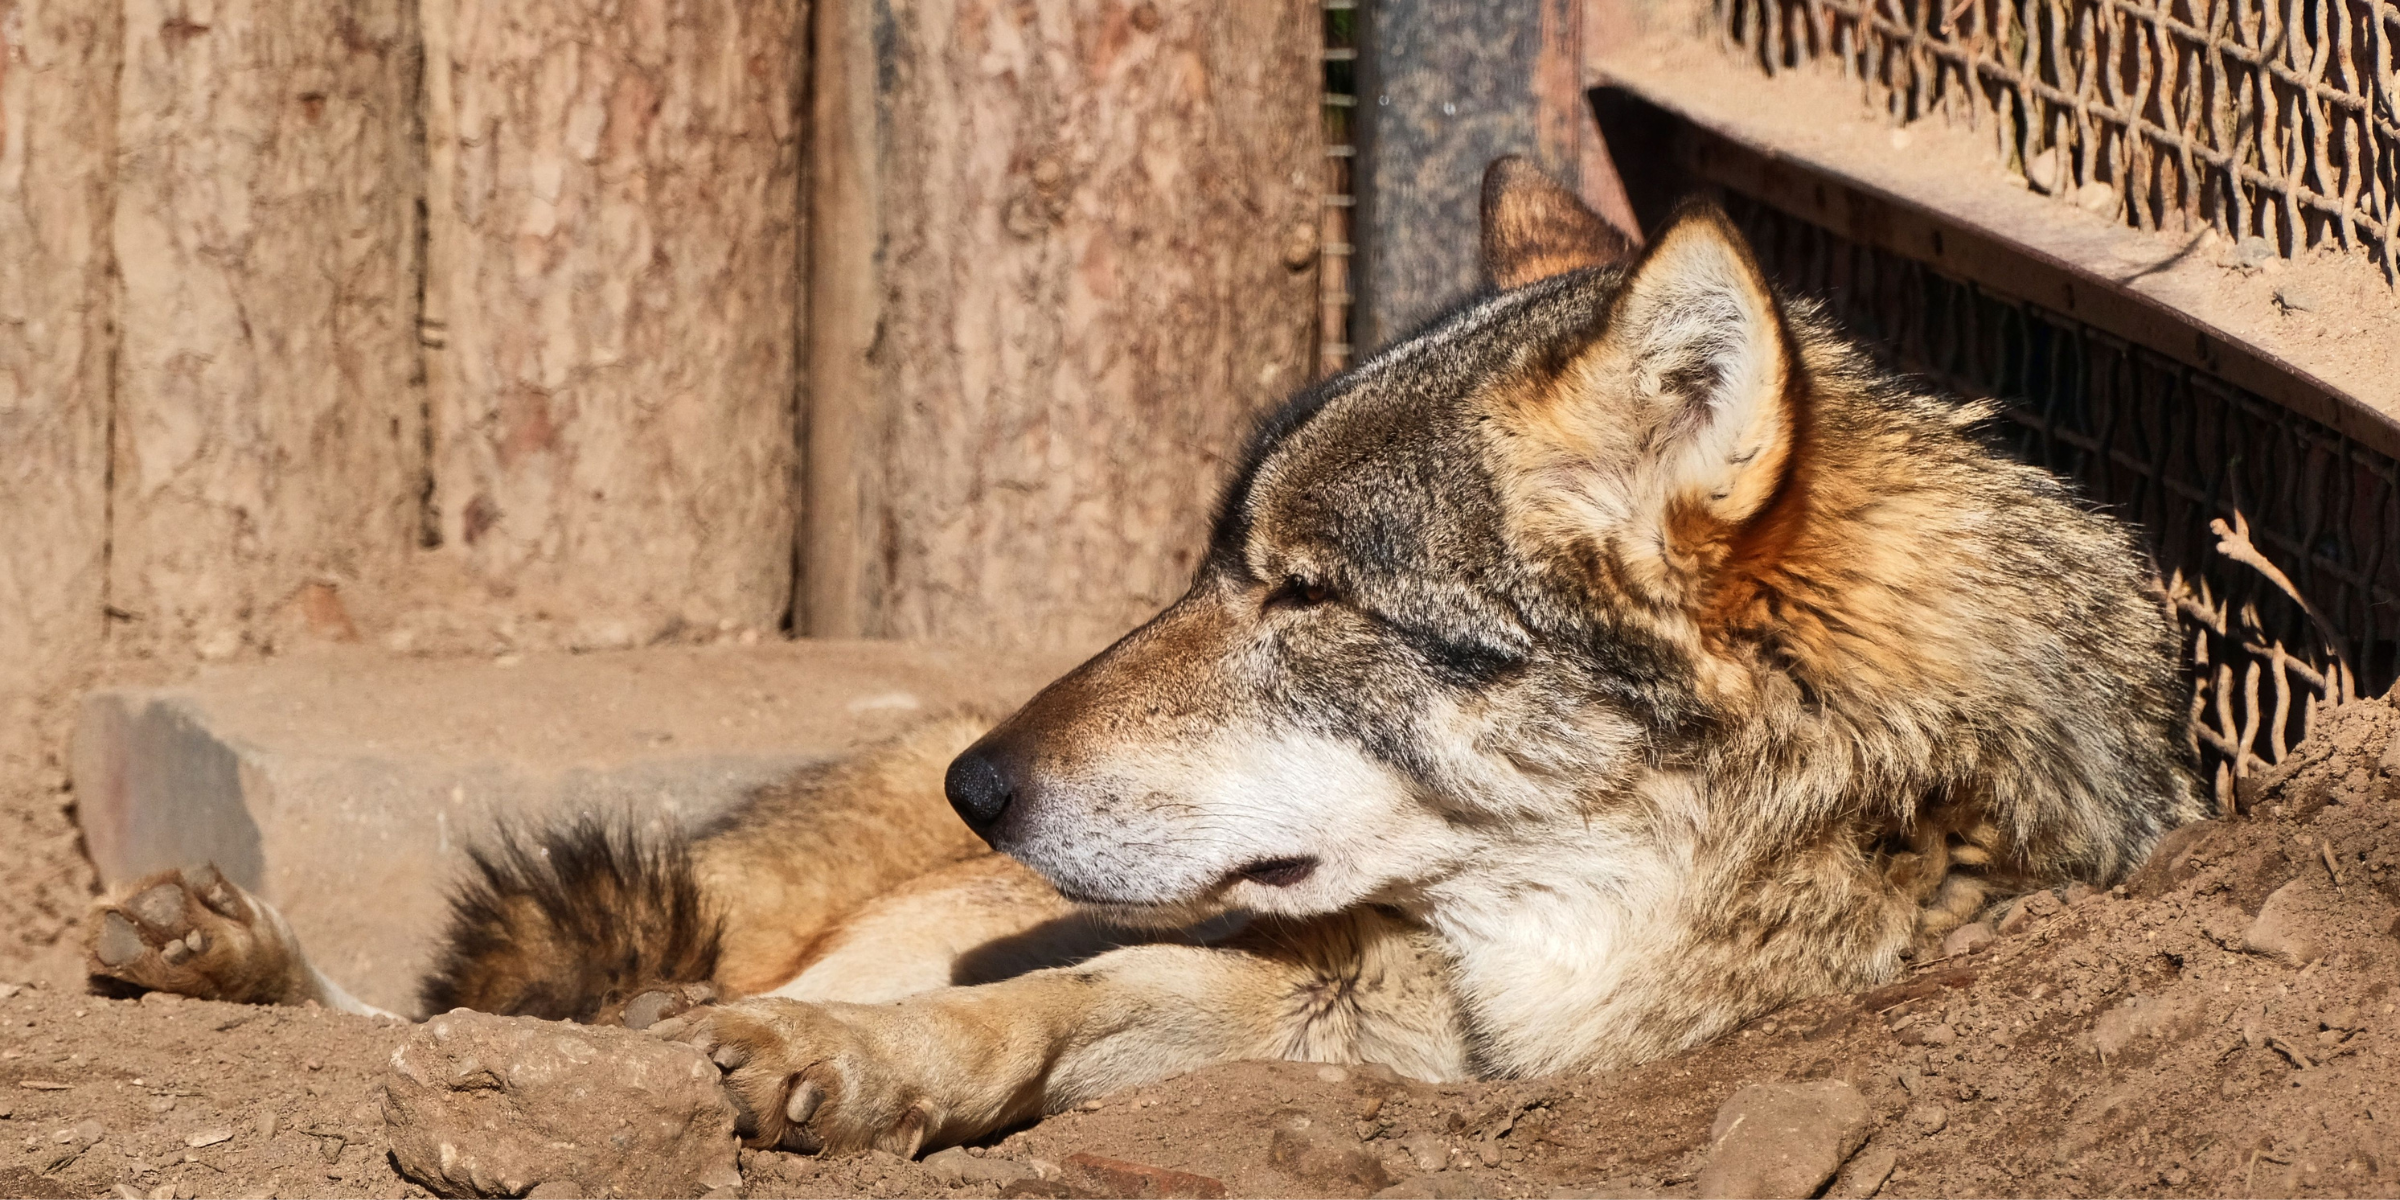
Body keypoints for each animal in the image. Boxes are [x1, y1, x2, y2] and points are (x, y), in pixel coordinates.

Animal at [87, 157, 2199, 1158]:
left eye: (1307, 595)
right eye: (1206, 562)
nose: (984, 787)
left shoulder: (1377, 1053)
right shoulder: (1299, 992)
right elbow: (1064, 992)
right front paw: (864, 1071)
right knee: (489, 1012)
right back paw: (229, 963)